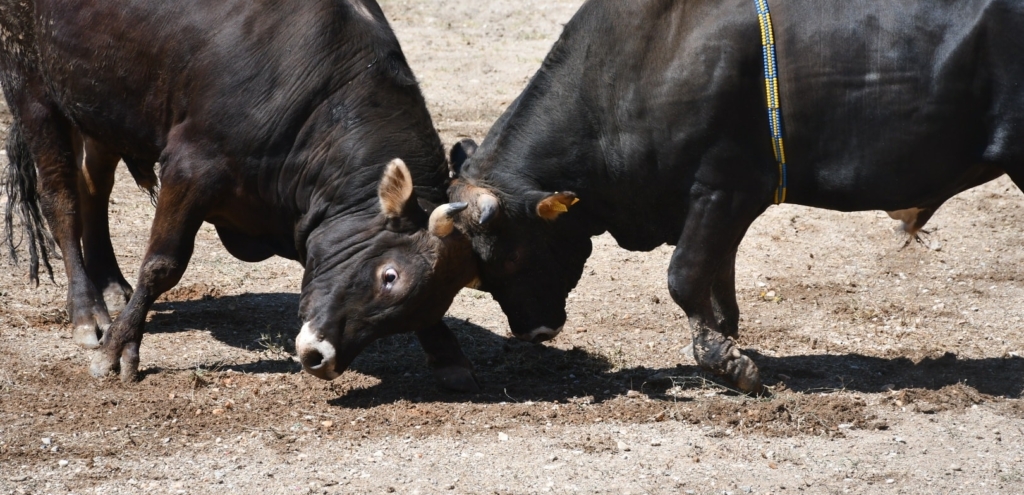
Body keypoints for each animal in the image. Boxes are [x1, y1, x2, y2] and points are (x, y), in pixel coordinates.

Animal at [1, 0, 479, 391]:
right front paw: (117, 350)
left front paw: (446, 351)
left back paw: (112, 287)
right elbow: (161, 265)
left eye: (430, 298)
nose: (320, 358)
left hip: (99, 107)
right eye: (389, 275)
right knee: (61, 197)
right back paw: (87, 312)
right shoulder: (190, 166)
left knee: (94, 186)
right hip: (30, 82)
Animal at [444, 0, 1019, 395]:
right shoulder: (721, 203)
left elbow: (686, 276)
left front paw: (730, 365)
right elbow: (719, 281)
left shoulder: (726, 186)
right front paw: (723, 347)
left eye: (510, 255)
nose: (533, 332)